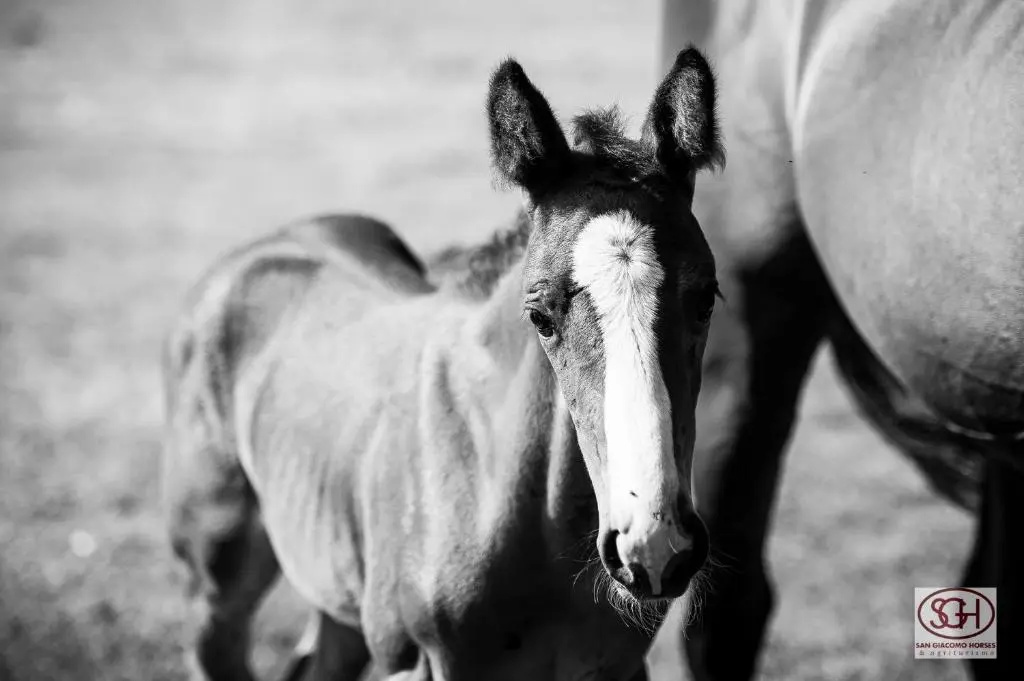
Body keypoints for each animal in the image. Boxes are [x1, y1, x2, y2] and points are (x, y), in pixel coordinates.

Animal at [162, 48, 725, 681]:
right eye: (540, 316)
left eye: (706, 298)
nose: (653, 544)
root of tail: (268, 243)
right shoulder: (415, 661)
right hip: (215, 588)